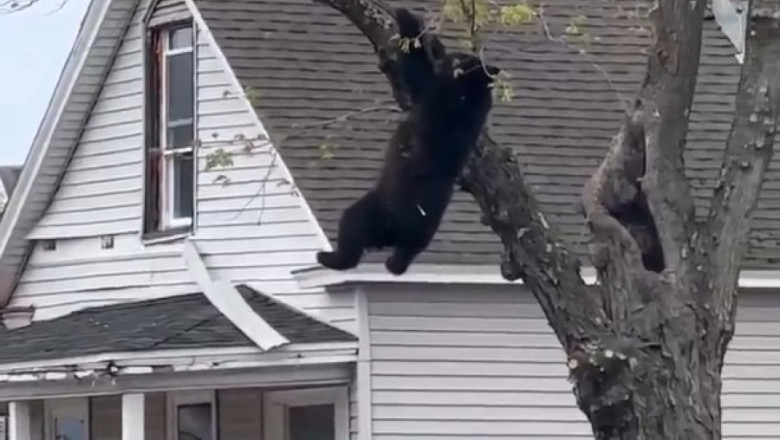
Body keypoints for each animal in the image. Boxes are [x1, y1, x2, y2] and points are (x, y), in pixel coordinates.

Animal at [315, 7, 501, 275]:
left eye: (462, 59)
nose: (455, 56)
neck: (471, 95)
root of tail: (393, 234)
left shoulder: (439, 96)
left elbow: (417, 72)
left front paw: (407, 18)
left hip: (380, 211)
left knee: (352, 226)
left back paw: (331, 257)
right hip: (412, 230)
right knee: (404, 252)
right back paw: (393, 263)